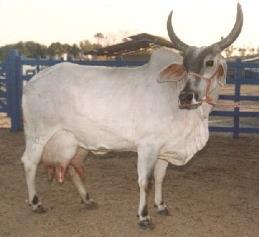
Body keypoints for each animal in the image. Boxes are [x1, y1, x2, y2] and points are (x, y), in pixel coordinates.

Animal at [20, 3, 244, 228]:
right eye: (185, 65)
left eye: (210, 62)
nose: (186, 97)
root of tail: (34, 80)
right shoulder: (147, 147)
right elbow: (145, 182)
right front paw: (144, 216)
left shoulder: (165, 149)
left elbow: (160, 177)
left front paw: (161, 205)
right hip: (38, 135)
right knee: (29, 163)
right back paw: (35, 203)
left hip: (75, 142)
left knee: (73, 167)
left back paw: (87, 199)